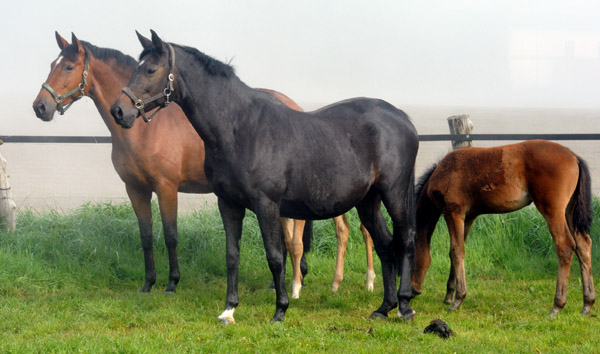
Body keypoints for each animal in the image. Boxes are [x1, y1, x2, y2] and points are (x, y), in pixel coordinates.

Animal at [111, 30, 418, 324]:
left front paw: (280, 310)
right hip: (368, 201)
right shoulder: (228, 204)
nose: (119, 111)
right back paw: (384, 308)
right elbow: (232, 255)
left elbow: (275, 256)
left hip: (393, 194)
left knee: (405, 239)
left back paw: (403, 306)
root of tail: (402, 118)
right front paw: (229, 310)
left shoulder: (266, 205)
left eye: (151, 69)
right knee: (385, 245)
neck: (240, 127)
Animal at [412, 140, 596, 316]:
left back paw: (557, 306)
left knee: (565, 245)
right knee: (583, 244)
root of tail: (574, 157)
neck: (444, 172)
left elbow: (456, 251)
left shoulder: (453, 211)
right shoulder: (468, 217)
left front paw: (458, 300)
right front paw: (449, 295)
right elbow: (455, 252)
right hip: (569, 210)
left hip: (552, 209)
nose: (413, 290)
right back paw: (587, 304)